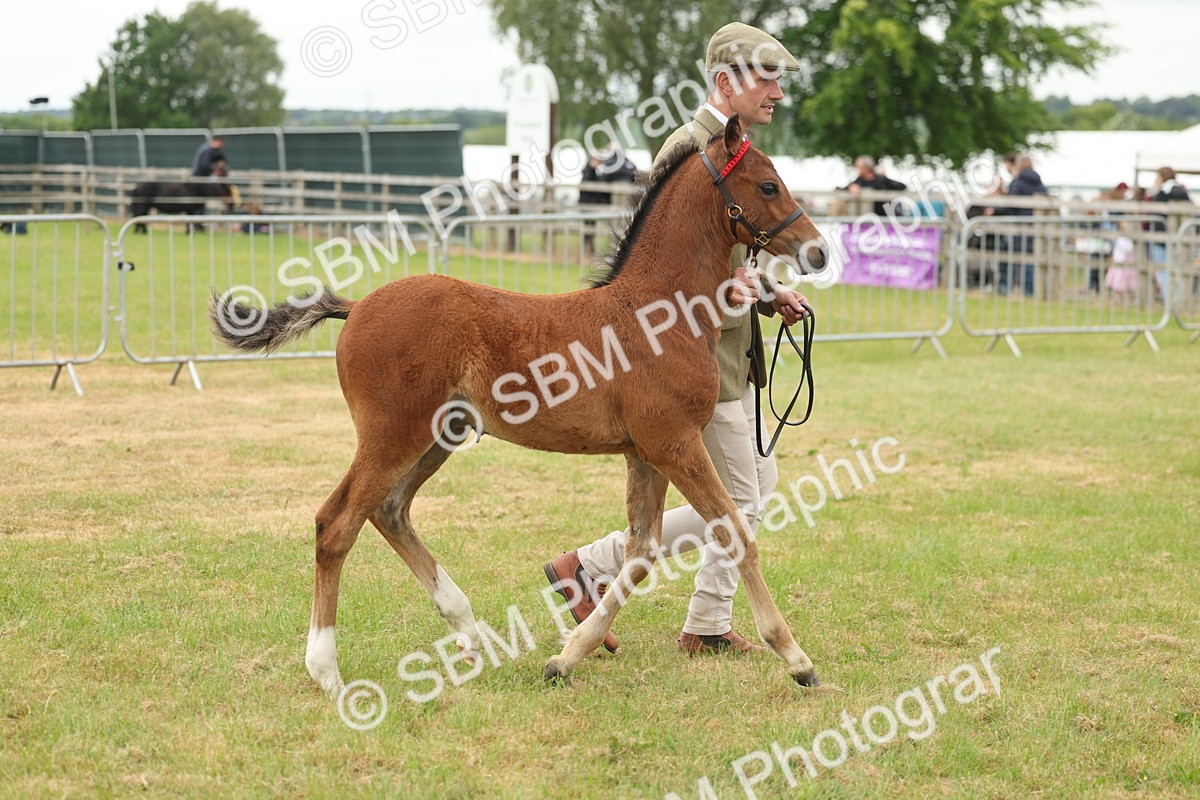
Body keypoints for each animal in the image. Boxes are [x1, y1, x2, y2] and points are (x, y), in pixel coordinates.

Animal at [209, 115, 830, 696]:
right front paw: (796, 658)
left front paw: (565, 657)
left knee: (389, 510)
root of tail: (357, 306)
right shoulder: (674, 443)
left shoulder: (645, 453)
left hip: (437, 438)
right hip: (391, 436)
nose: (818, 250)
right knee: (336, 523)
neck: (659, 313)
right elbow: (735, 533)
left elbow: (641, 551)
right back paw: (327, 670)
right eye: (769, 185)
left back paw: (467, 631)